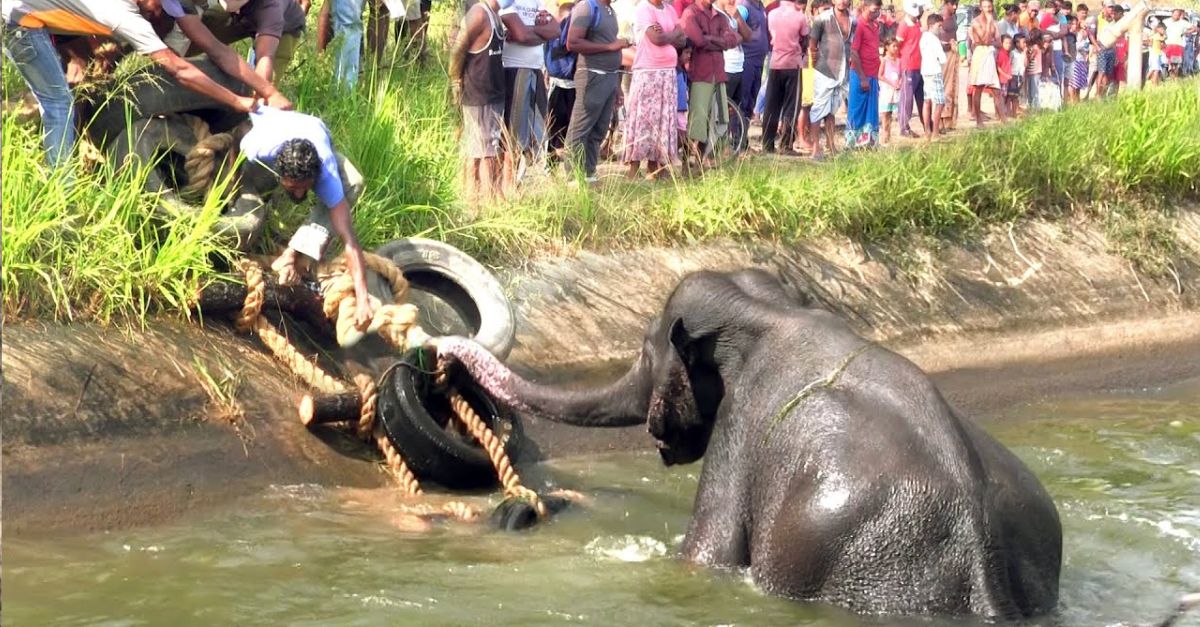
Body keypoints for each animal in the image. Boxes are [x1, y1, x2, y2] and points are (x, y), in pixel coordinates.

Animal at [436, 266, 1065, 614]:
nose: (442, 352)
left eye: (644, 350)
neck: (766, 309)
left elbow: (706, 554)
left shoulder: (740, 427)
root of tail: (985, 565)